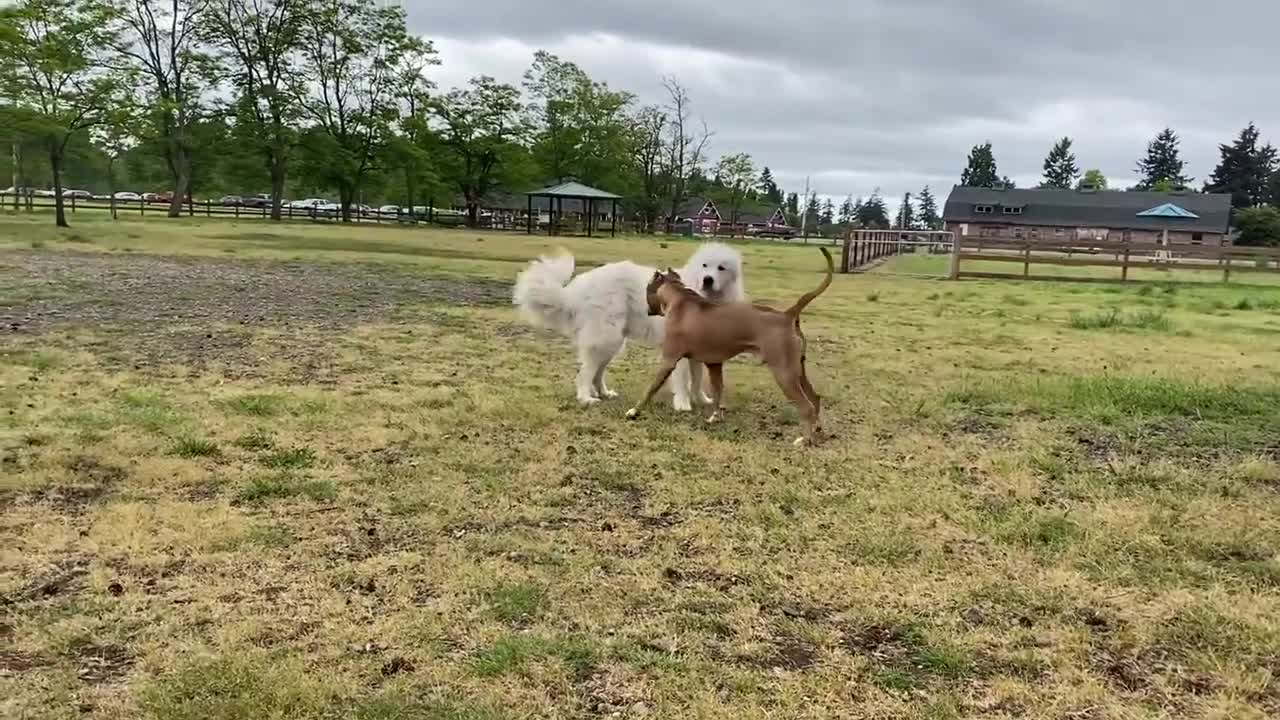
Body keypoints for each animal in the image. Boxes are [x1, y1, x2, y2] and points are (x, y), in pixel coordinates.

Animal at [512, 242, 747, 407]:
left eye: (721, 268)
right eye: (705, 266)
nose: (707, 279)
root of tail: (577, 288)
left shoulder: (697, 352)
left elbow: (697, 380)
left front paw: (702, 400)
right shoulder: (677, 351)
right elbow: (682, 381)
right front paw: (683, 405)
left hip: (612, 343)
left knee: (597, 372)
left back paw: (603, 393)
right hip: (605, 338)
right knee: (585, 372)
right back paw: (586, 398)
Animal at [624, 244, 834, 443]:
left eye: (647, 289)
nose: (645, 308)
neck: (680, 298)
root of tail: (788, 314)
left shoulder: (669, 360)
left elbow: (651, 388)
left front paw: (634, 411)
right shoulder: (714, 365)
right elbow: (717, 393)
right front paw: (715, 417)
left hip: (784, 372)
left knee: (806, 407)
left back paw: (804, 440)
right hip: (798, 369)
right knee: (815, 399)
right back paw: (818, 431)